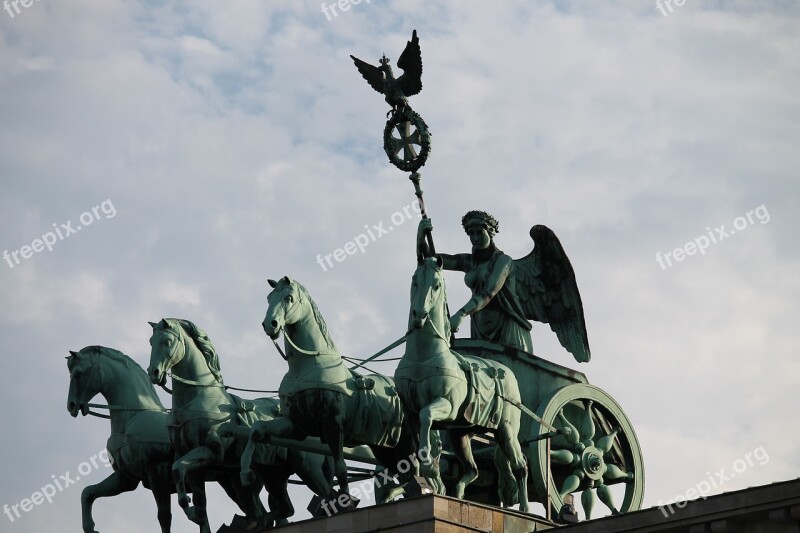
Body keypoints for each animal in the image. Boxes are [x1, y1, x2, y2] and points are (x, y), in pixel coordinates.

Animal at [67, 342, 173, 528]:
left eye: (78, 374)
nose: (71, 405)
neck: (134, 415)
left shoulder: (159, 472)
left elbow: (164, 516)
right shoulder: (125, 478)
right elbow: (87, 492)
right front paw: (90, 527)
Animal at [147, 318, 334, 528]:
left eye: (167, 342)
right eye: (151, 342)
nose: (153, 373)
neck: (195, 399)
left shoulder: (210, 452)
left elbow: (178, 469)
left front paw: (189, 507)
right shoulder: (193, 464)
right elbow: (194, 494)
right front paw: (193, 511)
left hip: (307, 468)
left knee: (330, 496)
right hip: (273, 474)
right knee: (285, 508)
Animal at [241, 274, 418, 508]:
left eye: (288, 298)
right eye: (269, 298)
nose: (270, 325)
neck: (307, 365)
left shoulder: (333, 423)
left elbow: (340, 464)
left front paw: (345, 500)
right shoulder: (297, 426)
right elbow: (256, 430)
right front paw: (245, 472)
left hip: (407, 442)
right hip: (385, 447)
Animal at [396, 258, 532, 512]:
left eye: (437, 285)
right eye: (414, 281)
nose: (419, 314)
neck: (423, 357)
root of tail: (508, 372)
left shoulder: (446, 406)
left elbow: (427, 415)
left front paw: (430, 467)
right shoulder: (409, 414)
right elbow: (416, 444)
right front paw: (424, 479)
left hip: (506, 430)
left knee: (520, 466)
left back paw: (526, 510)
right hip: (461, 435)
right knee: (473, 469)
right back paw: (458, 494)